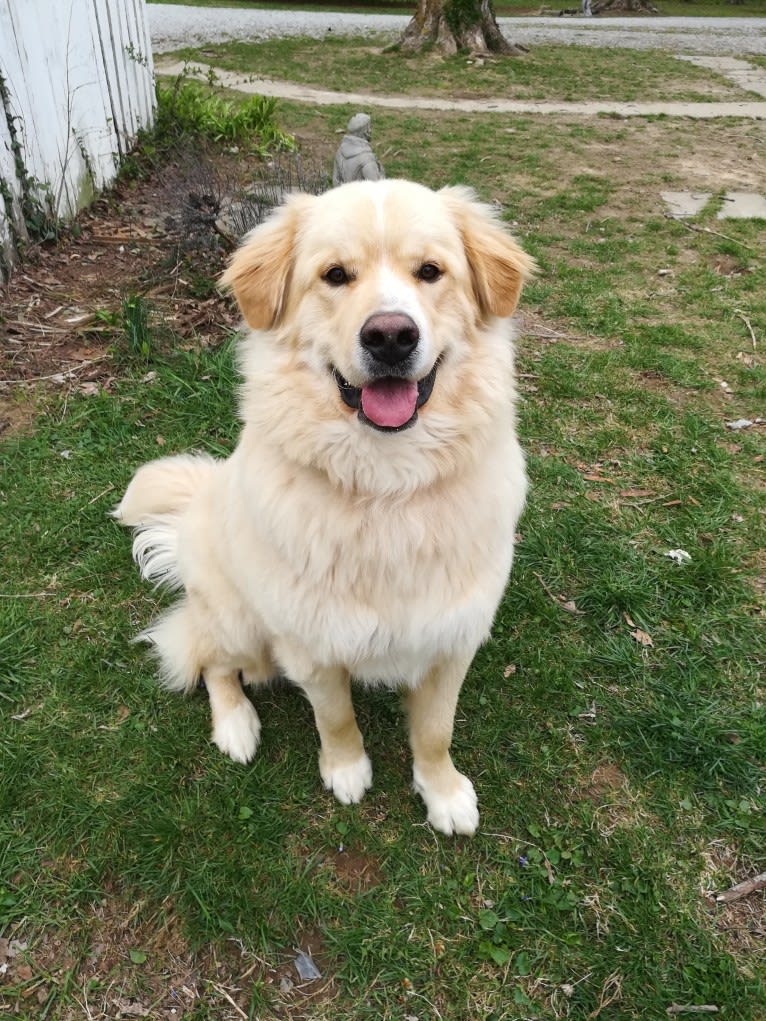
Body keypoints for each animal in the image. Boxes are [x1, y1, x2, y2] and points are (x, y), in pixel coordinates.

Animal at [115, 179, 535, 833]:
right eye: (336, 275)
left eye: (430, 271)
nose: (390, 336)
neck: (387, 485)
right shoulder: (312, 646)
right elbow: (335, 717)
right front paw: (346, 771)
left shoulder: (452, 639)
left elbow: (435, 731)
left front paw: (442, 793)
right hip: (238, 621)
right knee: (210, 661)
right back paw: (236, 725)